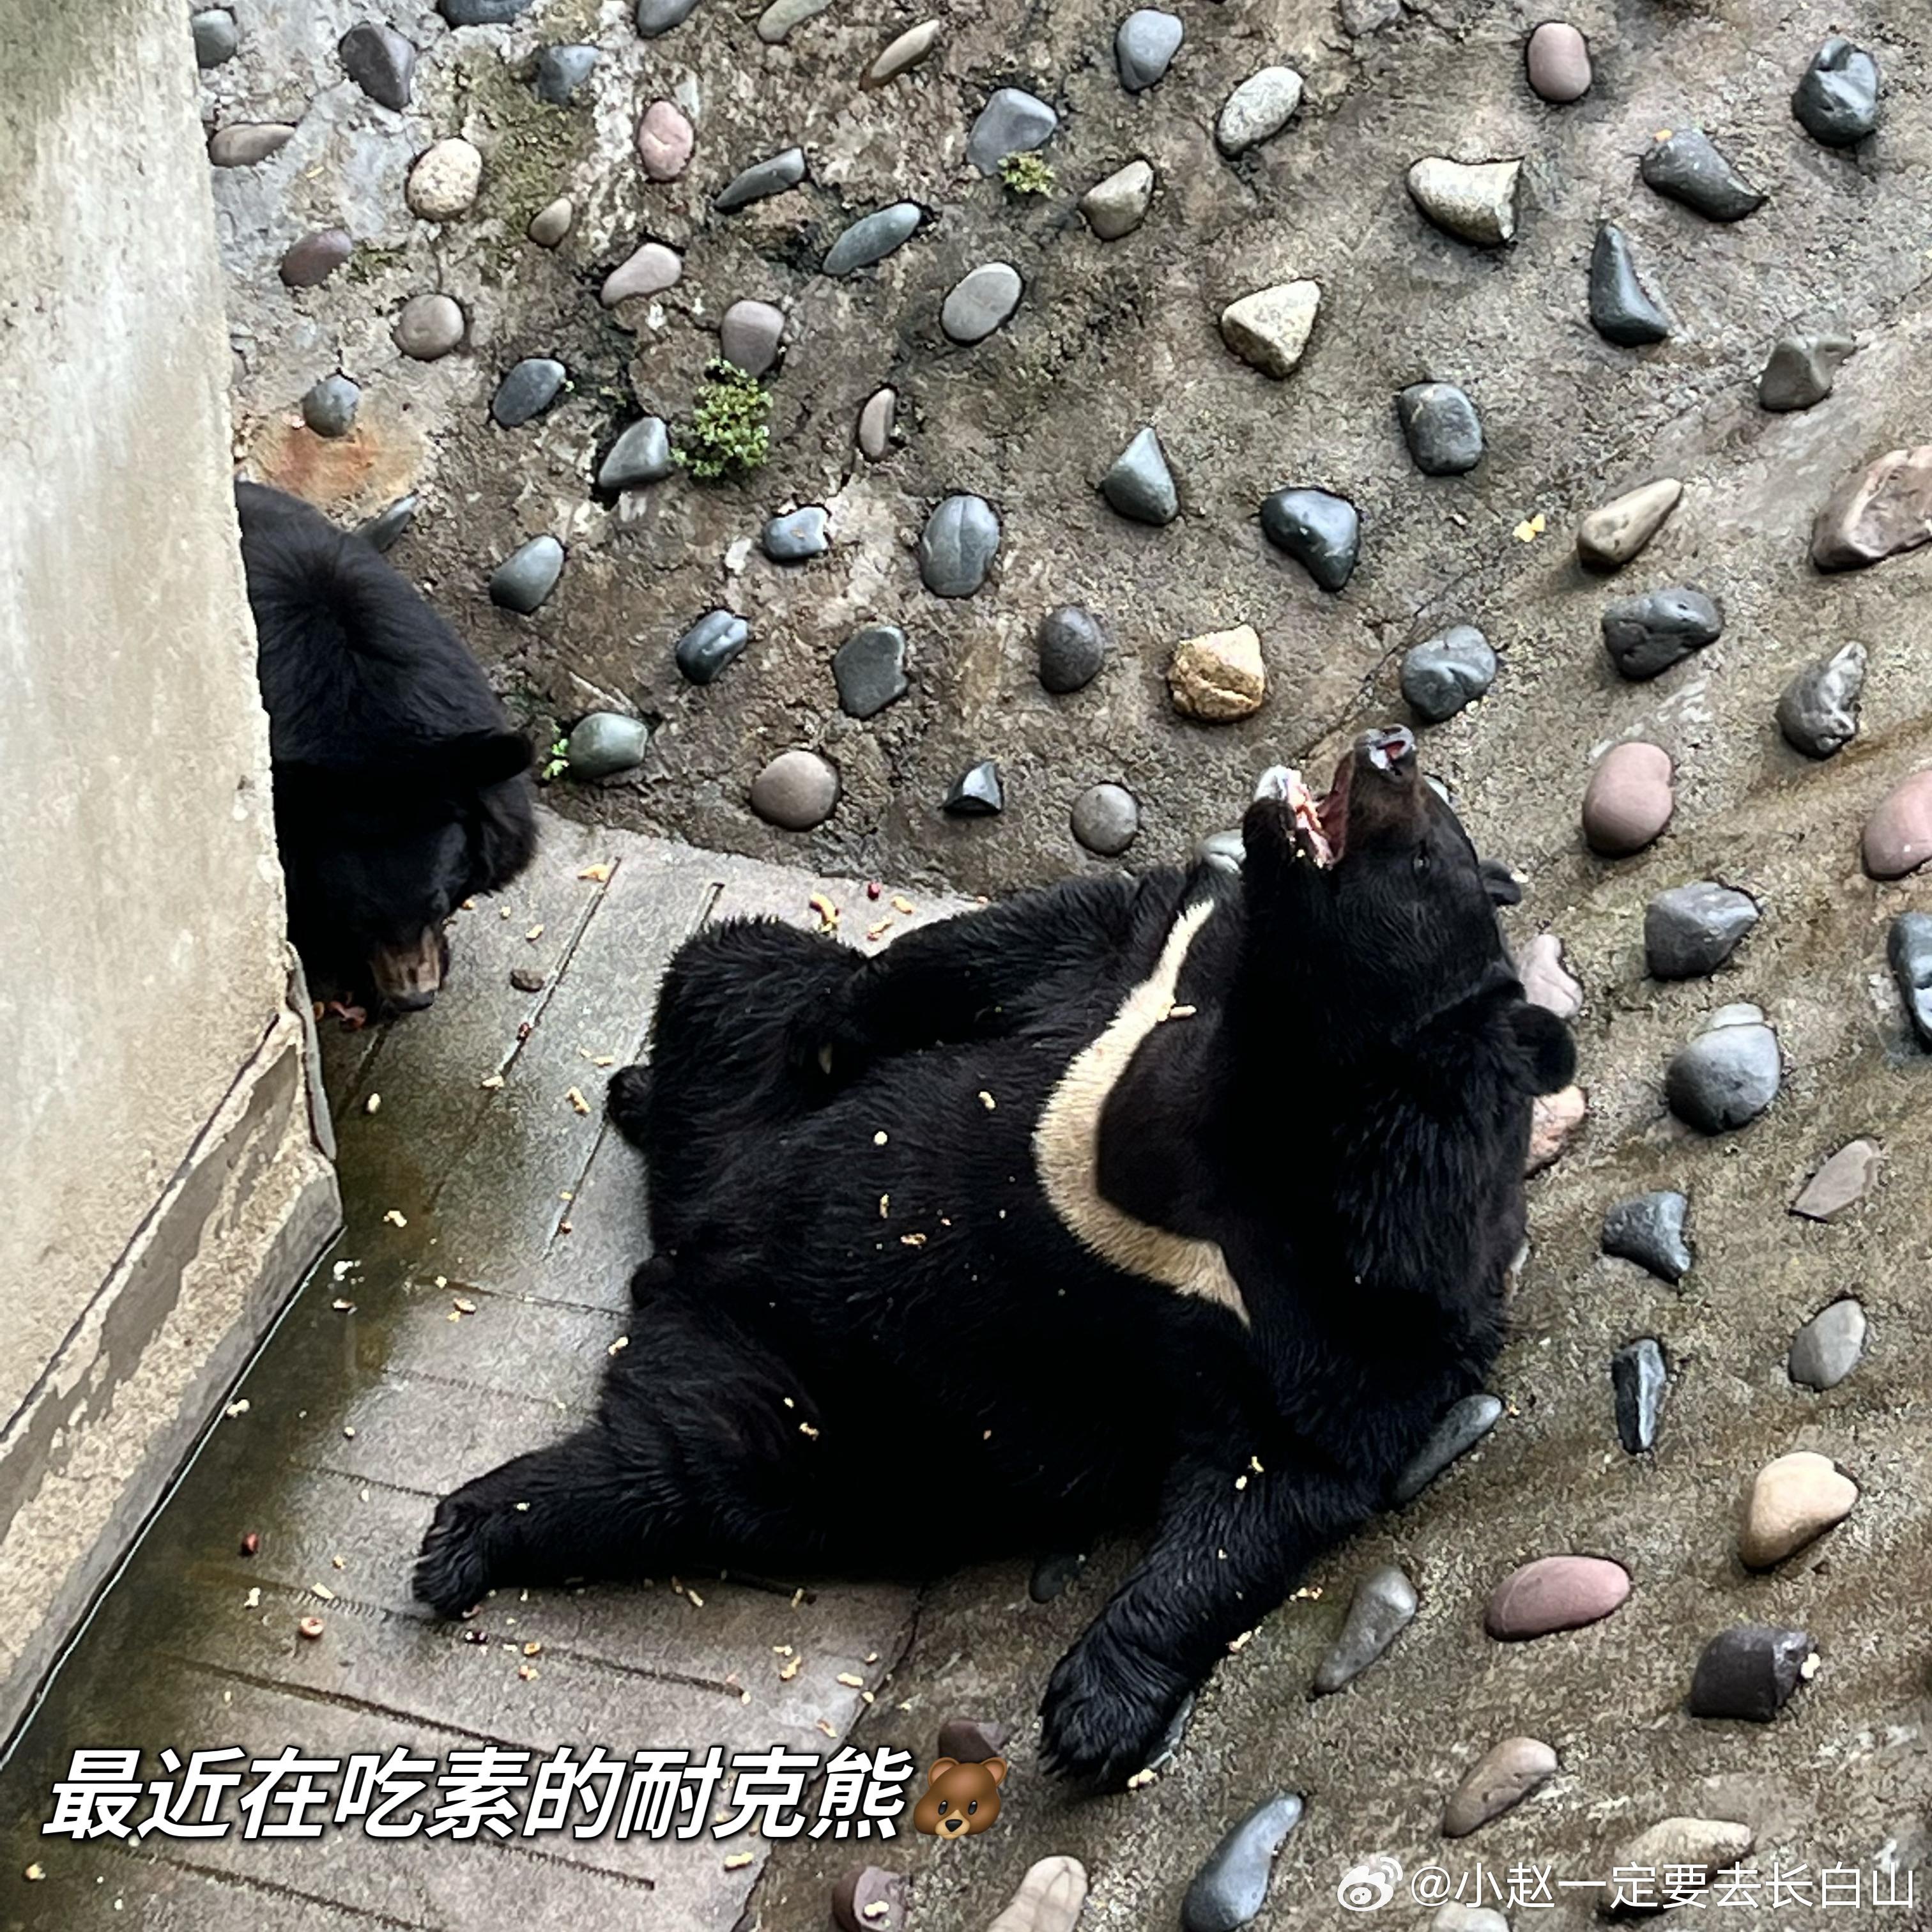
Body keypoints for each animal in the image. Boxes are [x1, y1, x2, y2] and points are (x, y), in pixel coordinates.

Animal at [412, 725, 1574, 1786]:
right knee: (736, 967)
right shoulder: (1158, 959)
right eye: (1430, 816)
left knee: (675, 1472)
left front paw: (1093, 1712)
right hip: (761, 1164)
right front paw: (843, 1021)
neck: (1277, 1061)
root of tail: (681, 1258)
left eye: (1422, 849)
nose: (1390, 743)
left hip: (810, 1404)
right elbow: (1017, 942)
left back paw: (471, 1531)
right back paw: (650, 1095)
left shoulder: (1337, 1298)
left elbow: (1285, 1467)